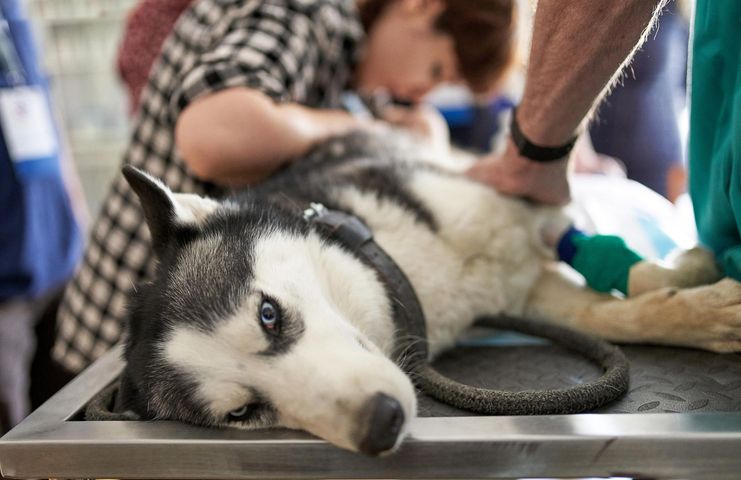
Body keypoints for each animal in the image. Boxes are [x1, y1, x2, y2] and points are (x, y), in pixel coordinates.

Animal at [118, 130, 740, 454]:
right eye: (243, 412)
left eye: (268, 314)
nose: (380, 426)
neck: (403, 272)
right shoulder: (521, 294)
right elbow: (609, 316)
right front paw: (699, 309)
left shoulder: (521, 207)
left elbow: (614, 278)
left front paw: (689, 282)